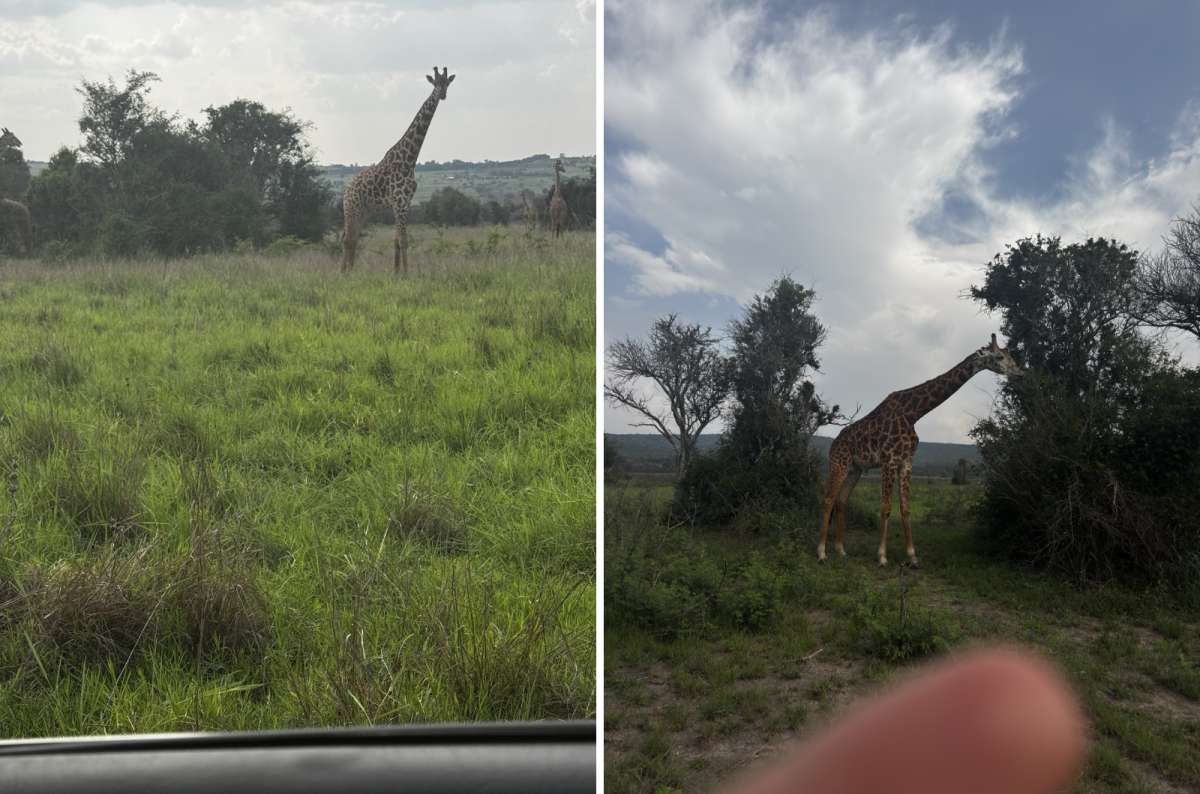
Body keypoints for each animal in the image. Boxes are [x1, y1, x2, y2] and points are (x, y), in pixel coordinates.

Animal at [340, 67, 455, 274]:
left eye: (447, 83)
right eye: (435, 83)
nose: (442, 95)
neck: (409, 160)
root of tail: (346, 190)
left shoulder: (404, 203)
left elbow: (396, 240)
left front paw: (396, 273)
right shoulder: (399, 202)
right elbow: (404, 241)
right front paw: (407, 274)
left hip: (363, 211)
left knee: (352, 237)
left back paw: (350, 272)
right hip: (351, 207)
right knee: (347, 239)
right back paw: (343, 273)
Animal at [816, 335, 1023, 568]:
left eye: (1009, 355)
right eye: (1000, 357)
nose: (1020, 372)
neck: (914, 413)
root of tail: (833, 444)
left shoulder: (906, 461)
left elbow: (905, 508)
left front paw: (912, 557)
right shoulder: (890, 460)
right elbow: (885, 507)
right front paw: (882, 556)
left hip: (855, 469)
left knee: (841, 501)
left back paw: (841, 550)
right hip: (839, 463)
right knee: (828, 499)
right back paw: (822, 553)